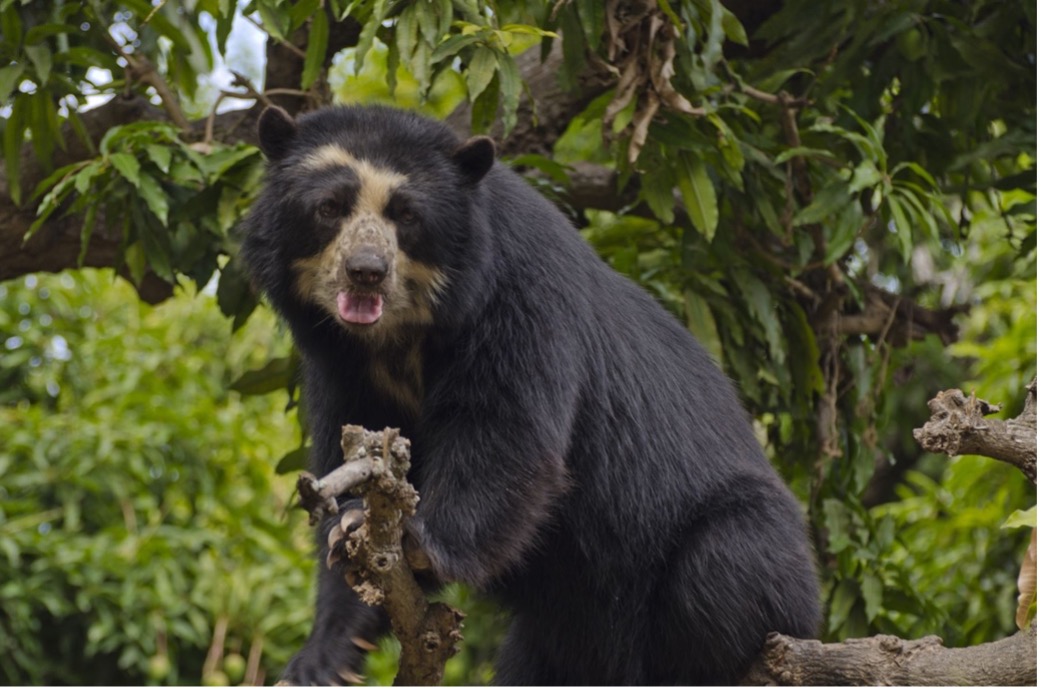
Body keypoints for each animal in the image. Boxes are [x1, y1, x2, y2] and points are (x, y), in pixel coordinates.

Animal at [243, 105, 820, 686]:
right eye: (329, 208)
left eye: (406, 215)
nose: (366, 272)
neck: (400, 337)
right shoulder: (339, 366)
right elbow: (352, 457)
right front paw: (324, 645)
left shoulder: (519, 295)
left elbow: (505, 430)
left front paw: (419, 543)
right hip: (555, 634)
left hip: (742, 552)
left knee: (722, 567)